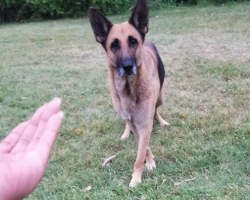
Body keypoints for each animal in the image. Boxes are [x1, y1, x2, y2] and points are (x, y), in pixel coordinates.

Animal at [89, 0, 169, 188]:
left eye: (133, 41)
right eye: (114, 45)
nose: (127, 67)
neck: (129, 90)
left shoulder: (145, 123)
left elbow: (140, 154)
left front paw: (137, 178)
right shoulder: (135, 123)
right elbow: (143, 146)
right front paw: (149, 160)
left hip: (160, 97)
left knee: (156, 110)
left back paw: (161, 121)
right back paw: (126, 133)